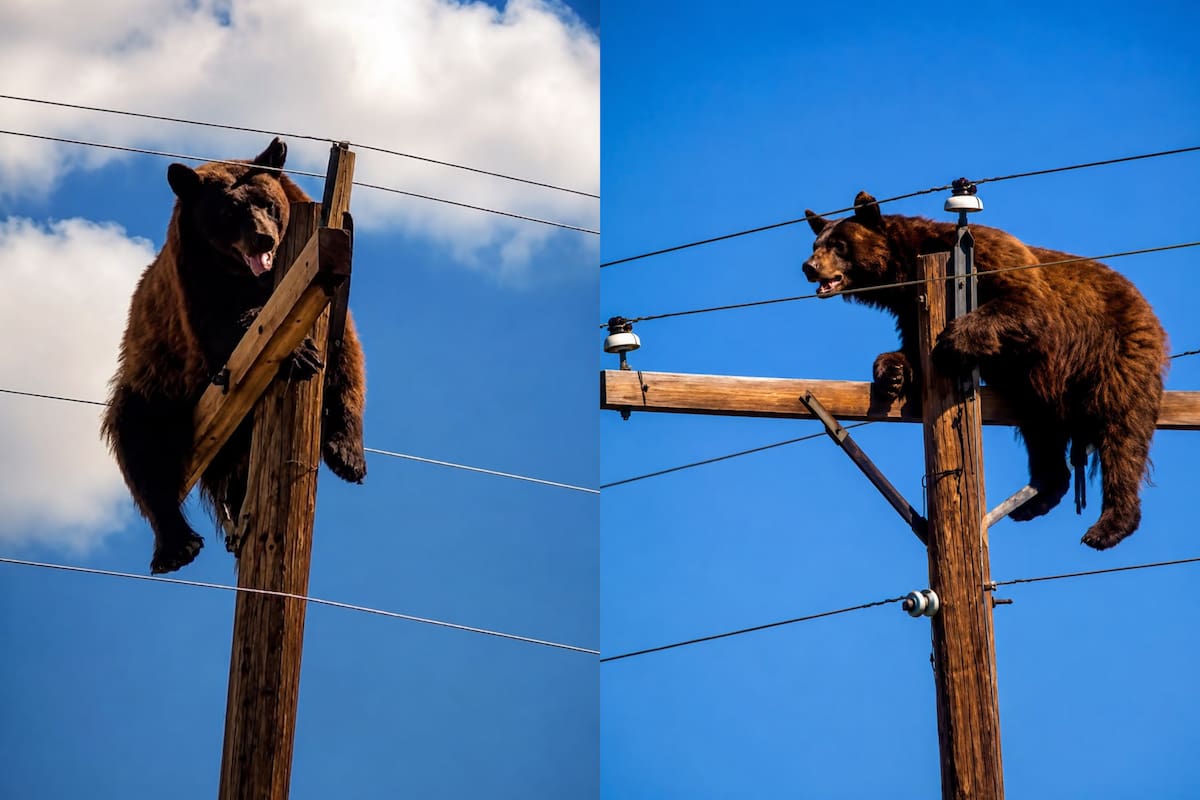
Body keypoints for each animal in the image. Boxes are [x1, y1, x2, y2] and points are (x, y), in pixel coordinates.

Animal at [102, 137, 367, 574]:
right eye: (228, 212)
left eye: (268, 203)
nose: (262, 238)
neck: (249, 277)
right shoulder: (194, 284)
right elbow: (223, 328)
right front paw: (298, 353)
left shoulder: (329, 269)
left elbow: (345, 358)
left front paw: (348, 455)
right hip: (157, 382)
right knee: (139, 439)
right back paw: (176, 546)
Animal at [802, 190, 1167, 550]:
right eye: (816, 243)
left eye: (839, 244)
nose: (809, 266)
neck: (905, 271)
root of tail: (1147, 307)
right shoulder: (910, 306)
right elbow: (911, 351)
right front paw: (891, 374)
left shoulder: (991, 260)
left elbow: (1026, 306)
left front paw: (949, 344)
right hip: (1038, 385)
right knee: (1041, 431)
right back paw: (1038, 496)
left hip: (1115, 351)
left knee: (1122, 433)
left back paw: (1108, 526)